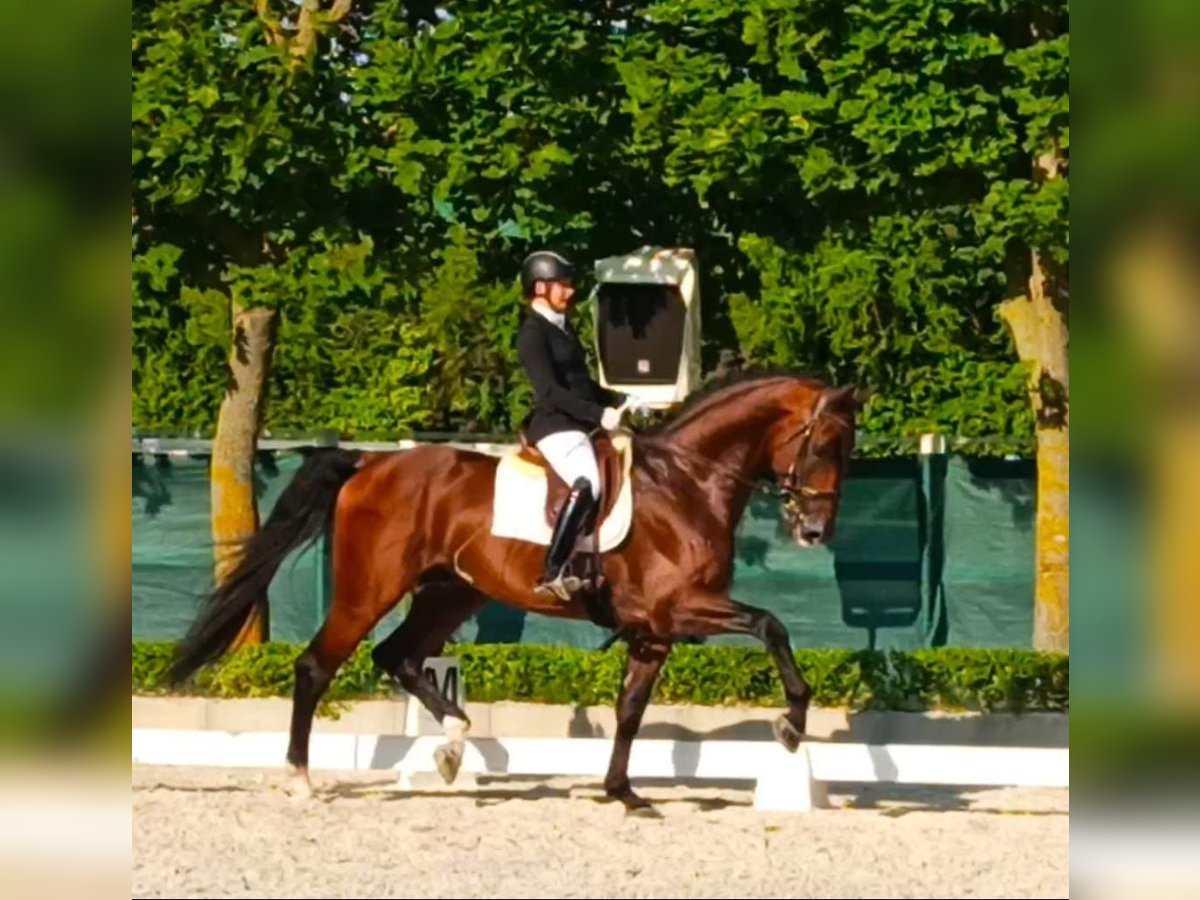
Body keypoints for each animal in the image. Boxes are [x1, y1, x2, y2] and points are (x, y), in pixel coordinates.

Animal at [166, 374, 864, 816]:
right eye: (823, 443)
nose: (815, 531)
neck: (687, 483)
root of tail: (370, 463)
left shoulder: (653, 631)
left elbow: (630, 710)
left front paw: (623, 793)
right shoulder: (680, 607)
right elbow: (772, 625)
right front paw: (791, 724)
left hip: (449, 595)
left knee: (398, 657)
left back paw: (451, 747)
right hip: (369, 591)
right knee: (316, 666)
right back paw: (300, 780)